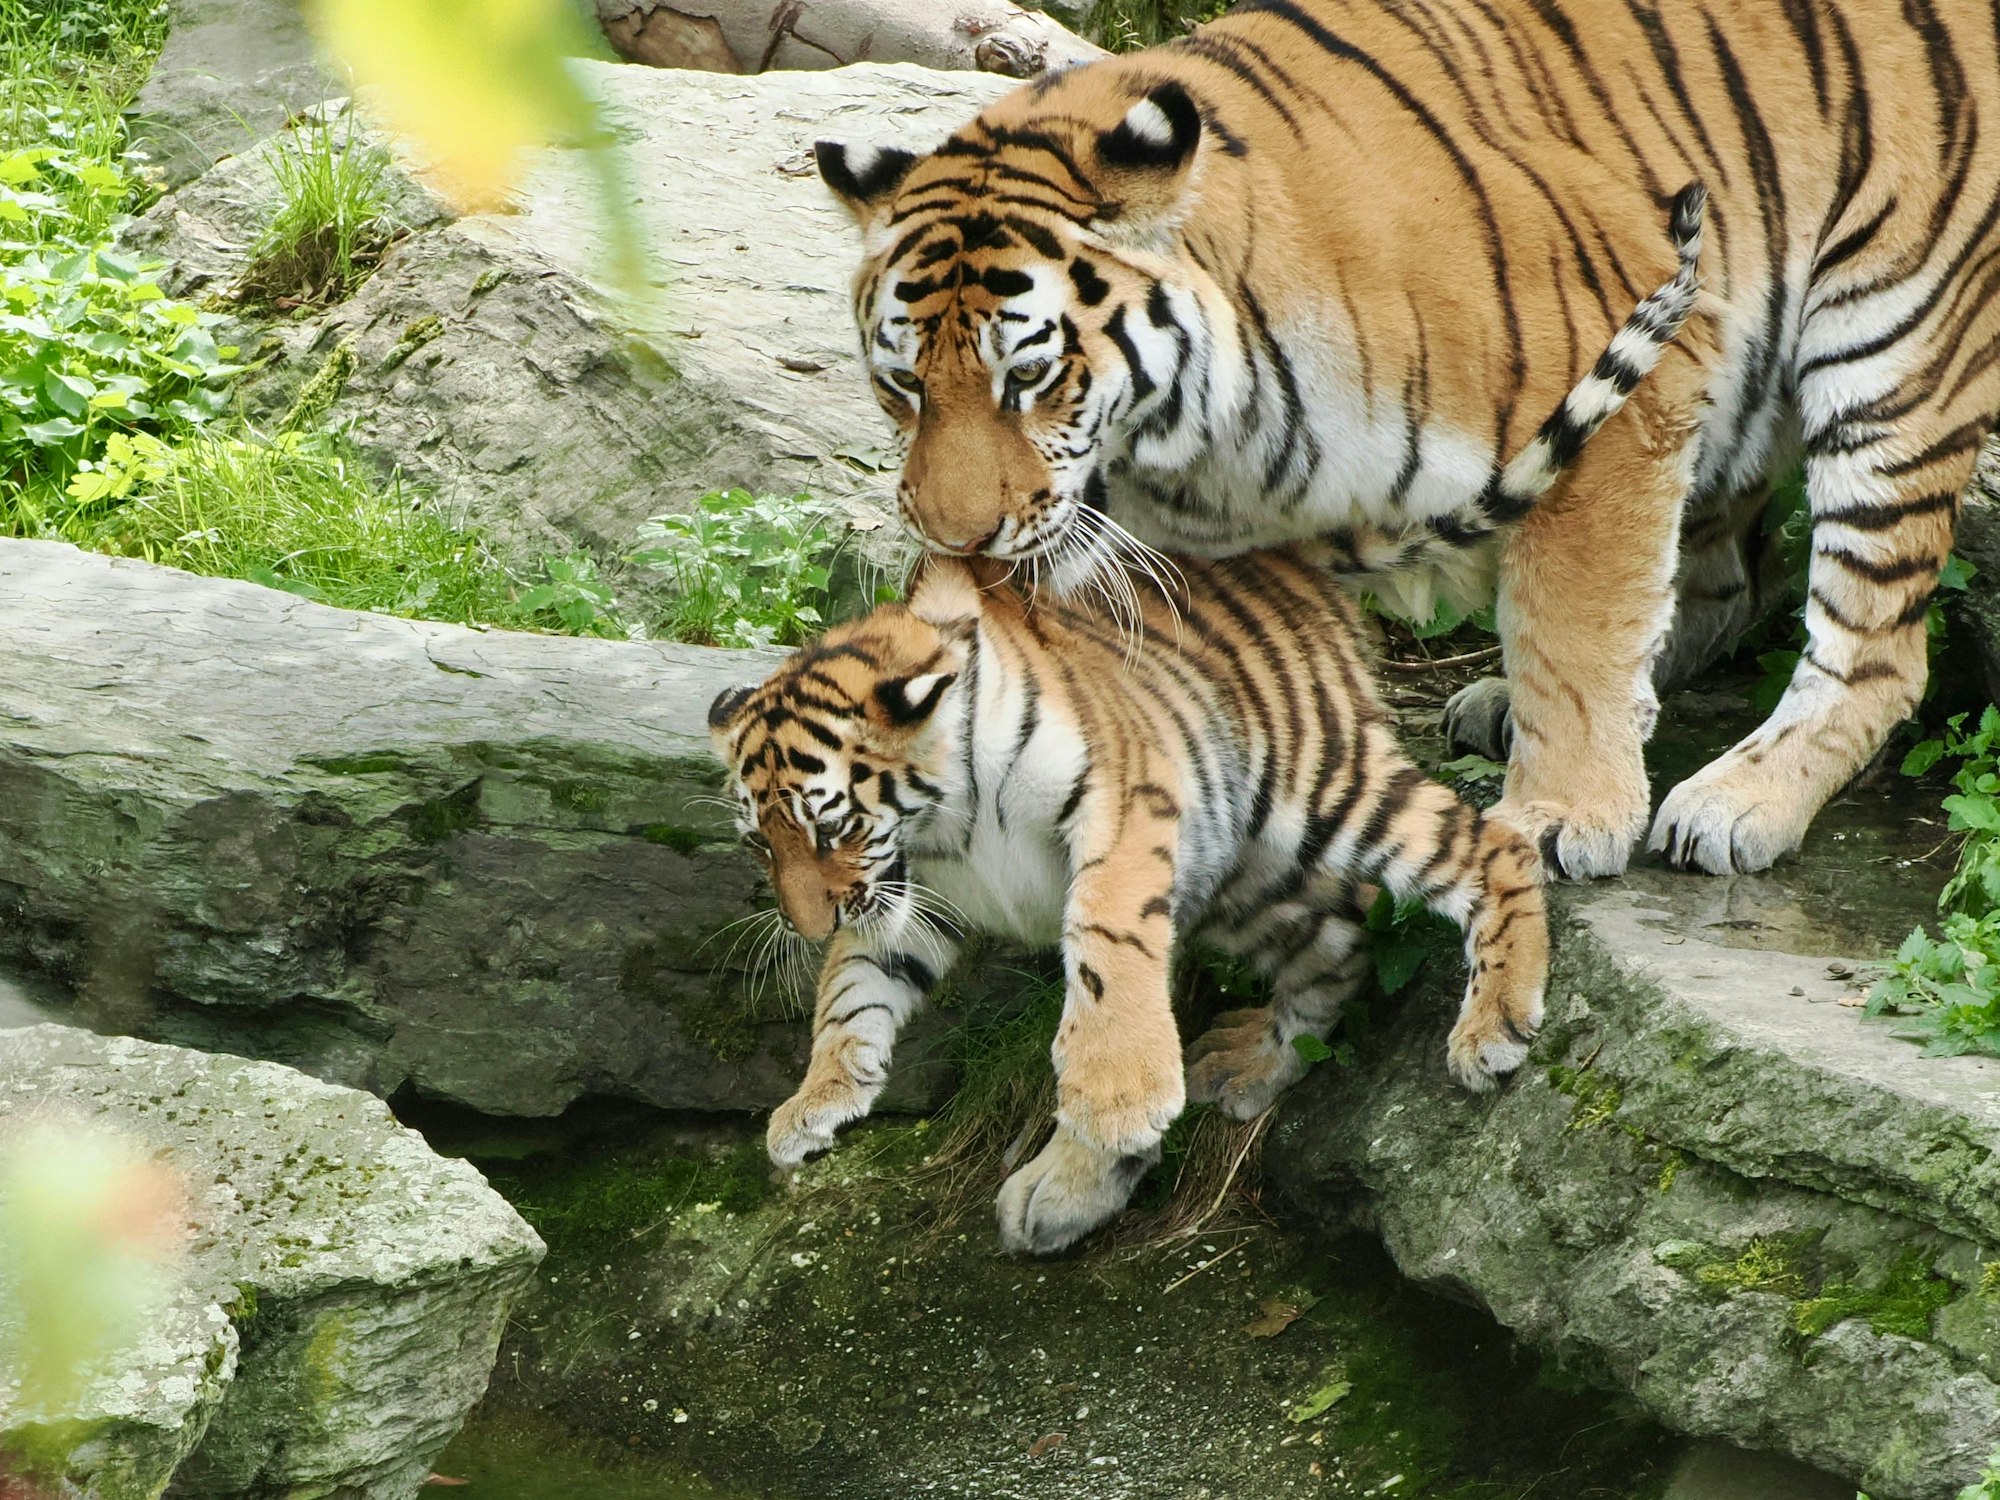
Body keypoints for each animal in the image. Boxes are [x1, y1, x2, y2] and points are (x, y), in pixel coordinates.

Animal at [811, 0, 2000, 882]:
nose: (958, 543)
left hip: (1891, 339)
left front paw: (1559, 817)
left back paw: (1735, 801)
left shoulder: (1630, 384)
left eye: (1029, 378)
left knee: (1875, 648)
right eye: (902, 386)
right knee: (1723, 580)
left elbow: (1578, 623)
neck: (1200, 451)